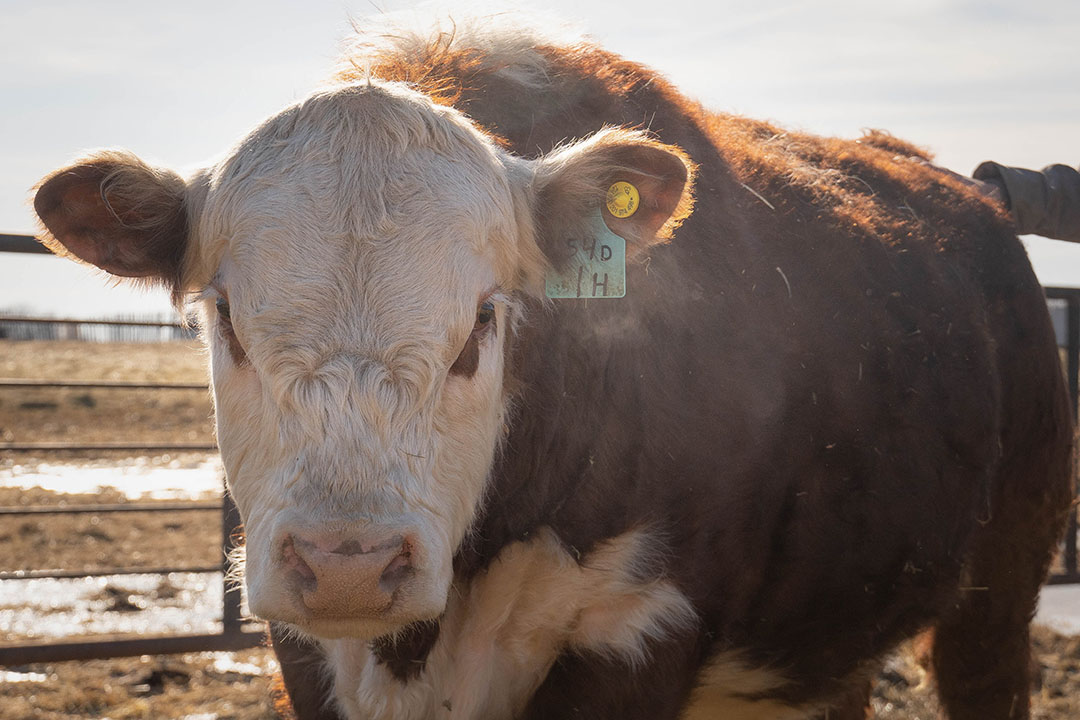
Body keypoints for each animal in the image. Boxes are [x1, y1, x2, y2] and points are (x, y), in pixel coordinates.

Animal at [31, 22, 1071, 720]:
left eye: (483, 323)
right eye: (227, 321)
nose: (348, 565)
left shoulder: (639, 629)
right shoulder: (307, 646)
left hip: (1001, 590)